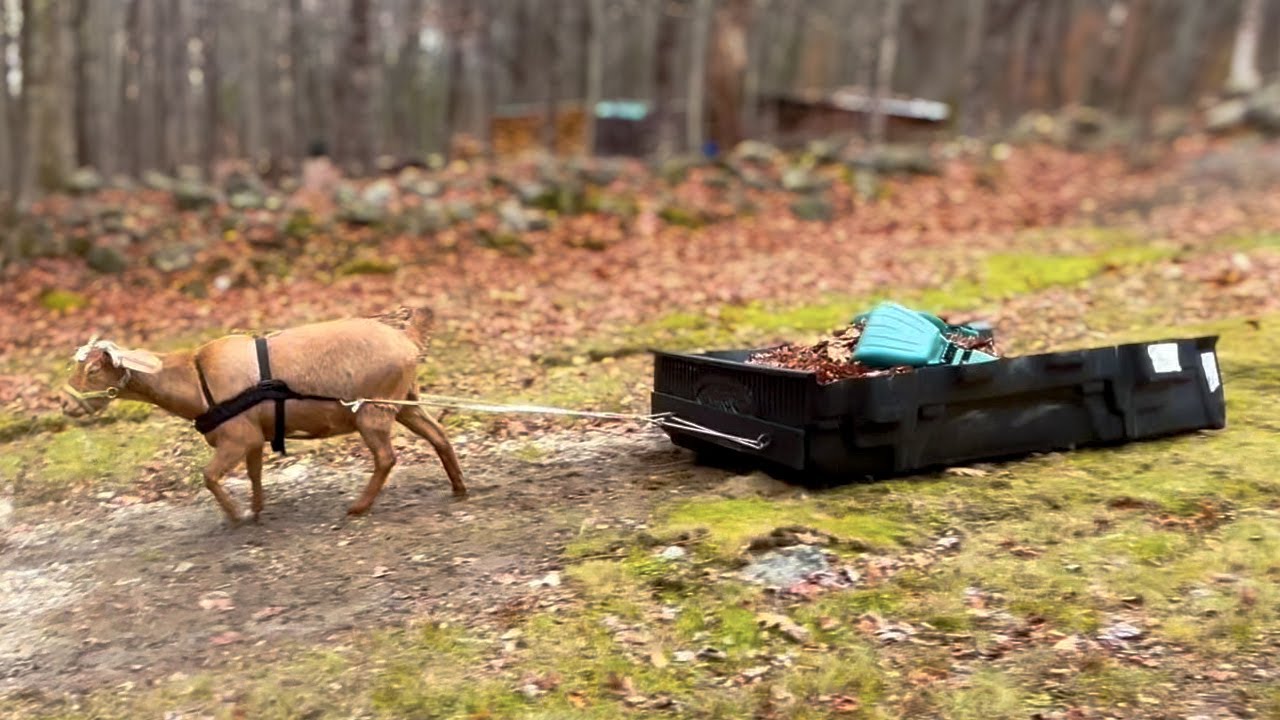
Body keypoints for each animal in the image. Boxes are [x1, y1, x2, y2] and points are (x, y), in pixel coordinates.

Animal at [60, 307, 467, 524]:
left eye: (93, 370)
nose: (64, 403)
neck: (194, 378)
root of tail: (408, 341)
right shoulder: (254, 436)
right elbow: (254, 472)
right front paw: (255, 510)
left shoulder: (236, 436)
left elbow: (209, 476)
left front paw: (236, 516)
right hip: (404, 401)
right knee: (438, 435)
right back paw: (459, 488)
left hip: (373, 409)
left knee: (385, 457)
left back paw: (358, 507)